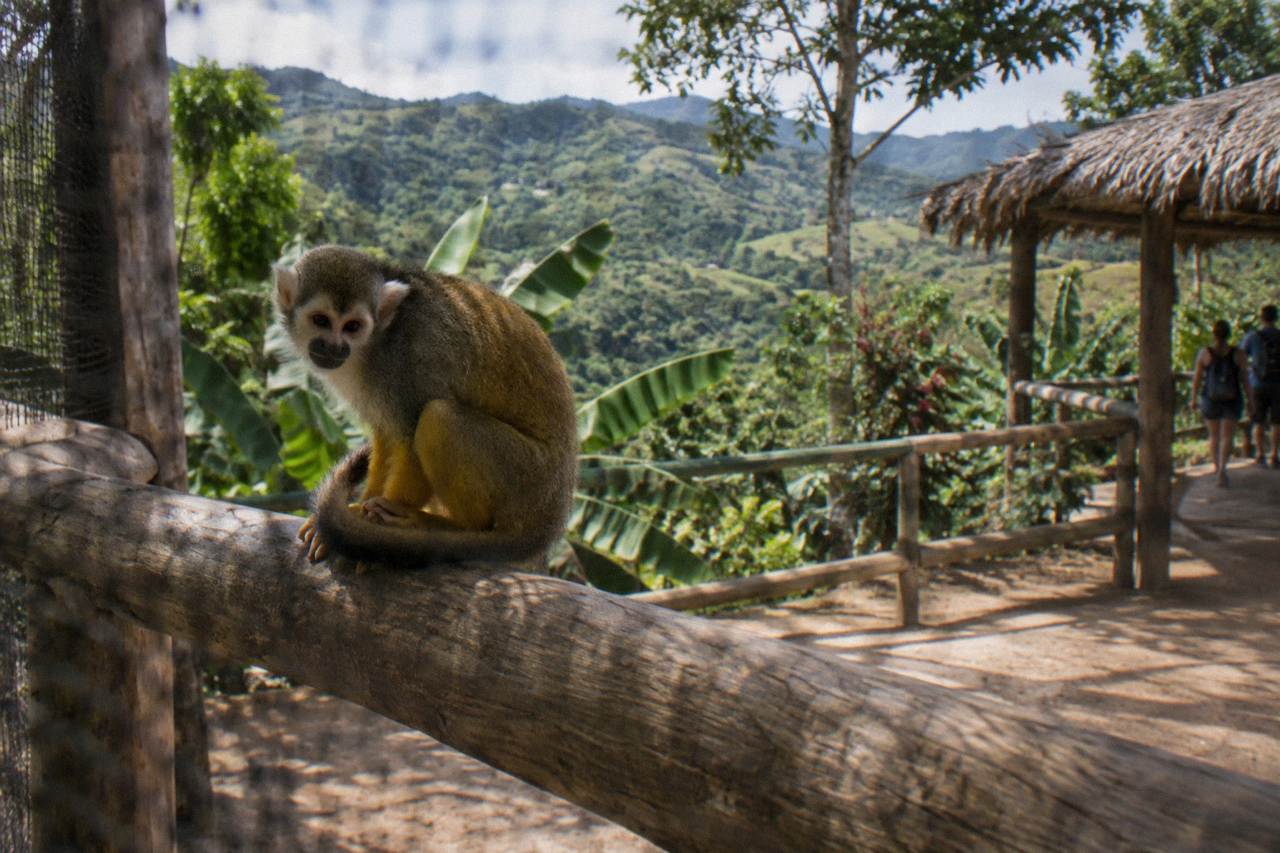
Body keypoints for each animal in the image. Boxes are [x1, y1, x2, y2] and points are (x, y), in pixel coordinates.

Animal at [273, 244, 578, 569]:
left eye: (352, 327)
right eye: (320, 320)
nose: (334, 347)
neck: (378, 340)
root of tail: (551, 520)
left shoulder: (413, 355)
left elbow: (409, 439)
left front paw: (370, 527)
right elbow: (386, 435)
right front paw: (359, 510)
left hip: (526, 478)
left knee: (438, 417)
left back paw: (452, 527)